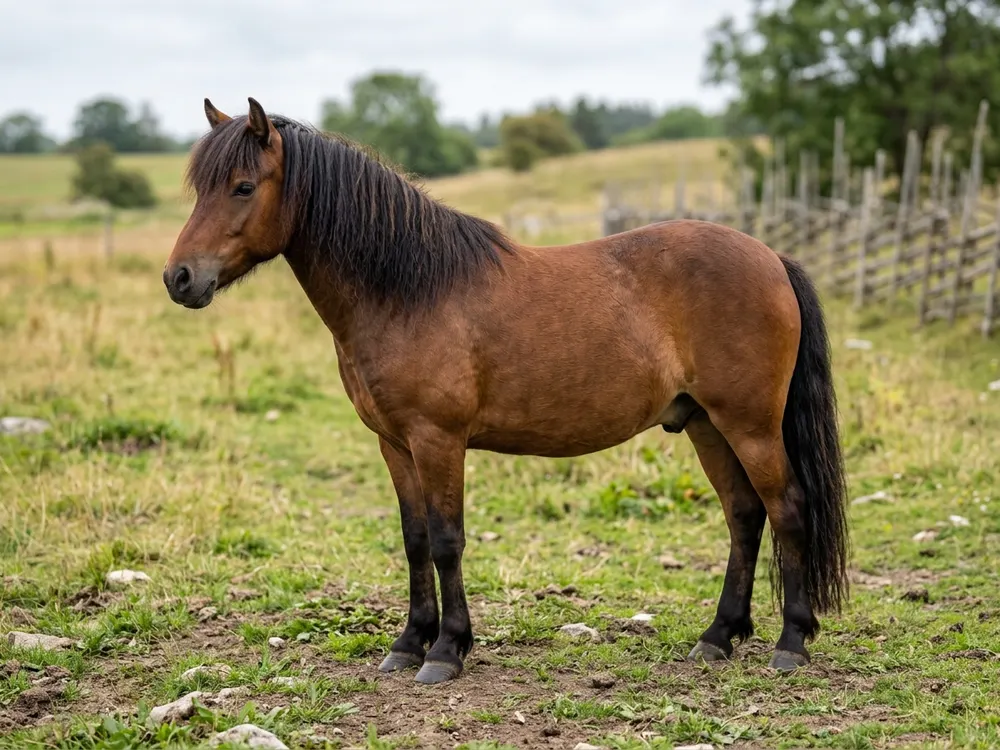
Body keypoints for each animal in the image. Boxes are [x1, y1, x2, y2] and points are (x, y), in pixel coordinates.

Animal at [162, 97, 851, 685]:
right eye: (201, 188)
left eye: (243, 186)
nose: (180, 278)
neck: (407, 290)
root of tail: (772, 258)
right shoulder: (394, 444)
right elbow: (414, 540)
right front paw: (408, 642)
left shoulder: (438, 440)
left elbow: (447, 540)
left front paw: (446, 651)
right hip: (706, 424)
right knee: (744, 515)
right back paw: (717, 637)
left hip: (750, 425)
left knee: (787, 508)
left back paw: (791, 643)